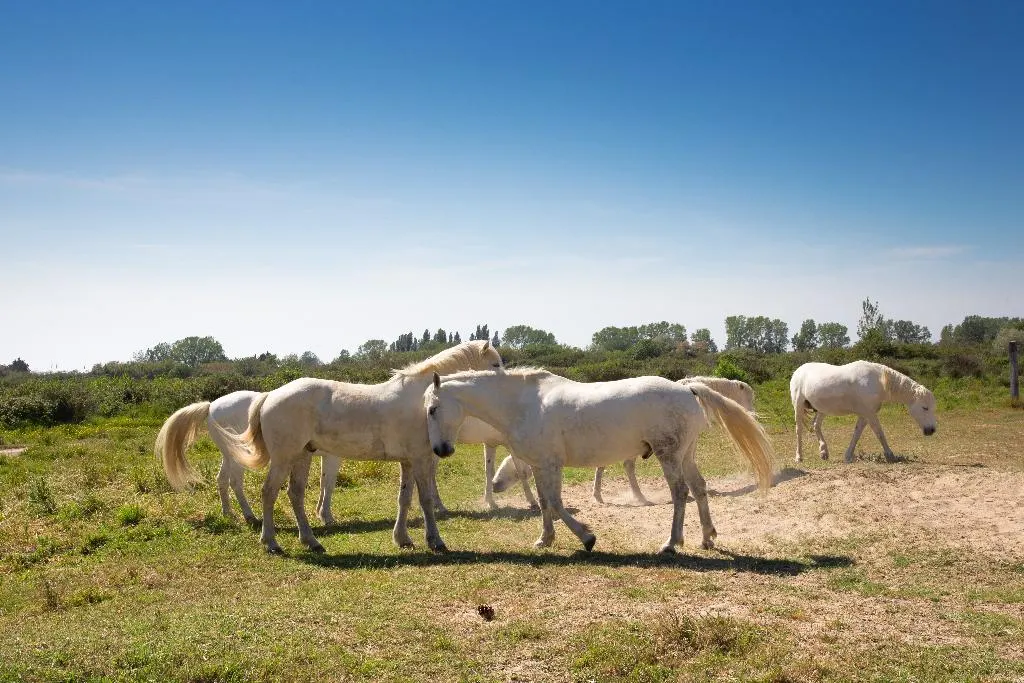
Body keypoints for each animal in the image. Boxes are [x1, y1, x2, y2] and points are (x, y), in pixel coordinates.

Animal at [158, 339, 503, 552]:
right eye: (496, 364)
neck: (422, 401)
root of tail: (269, 396)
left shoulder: (407, 461)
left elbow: (405, 500)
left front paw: (402, 538)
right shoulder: (420, 459)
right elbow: (426, 500)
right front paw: (435, 541)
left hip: (301, 457)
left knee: (294, 494)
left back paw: (310, 540)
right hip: (283, 458)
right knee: (267, 492)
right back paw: (270, 542)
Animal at [786, 358, 937, 464]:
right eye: (925, 408)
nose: (931, 430)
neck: (878, 381)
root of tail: (798, 371)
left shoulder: (865, 415)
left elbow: (857, 433)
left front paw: (848, 456)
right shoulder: (870, 414)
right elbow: (879, 433)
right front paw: (890, 455)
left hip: (822, 409)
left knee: (816, 425)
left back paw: (824, 452)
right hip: (798, 406)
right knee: (799, 430)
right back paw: (799, 457)